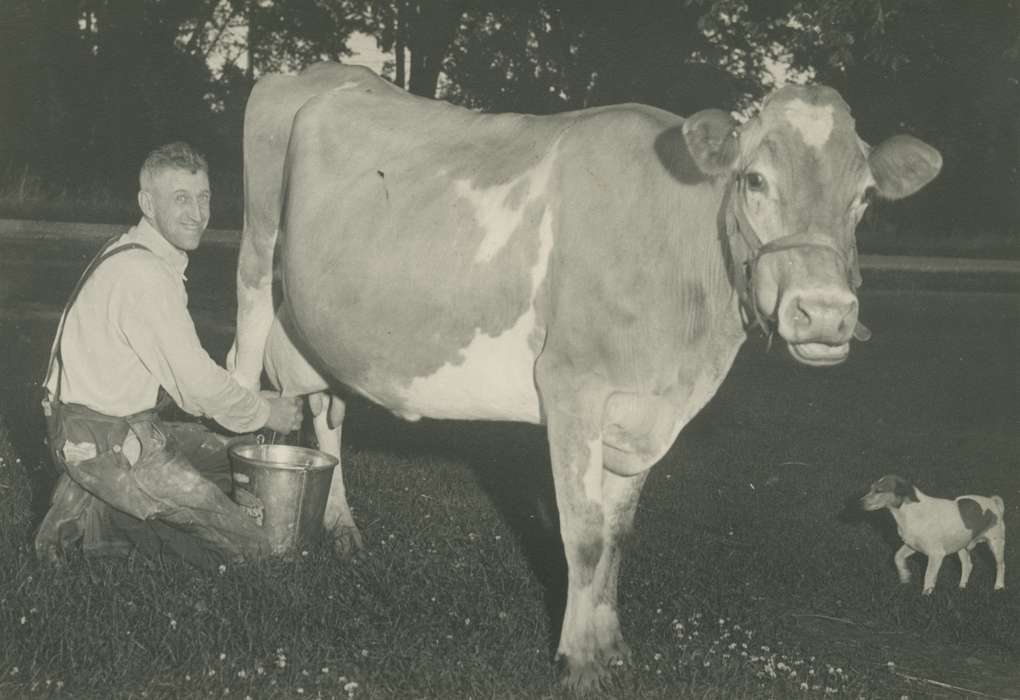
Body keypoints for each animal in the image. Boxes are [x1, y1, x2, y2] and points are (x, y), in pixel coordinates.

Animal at [227, 63, 942, 689]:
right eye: (755, 181)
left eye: (865, 197)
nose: (825, 312)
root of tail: (318, 73)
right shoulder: (571, 387)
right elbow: (586, 534)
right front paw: (579, 661)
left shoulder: (645, 406)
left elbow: (618, 536)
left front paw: (612, 645)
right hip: (258, 252)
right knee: (241, 369)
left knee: (327, 407)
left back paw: (341, 526)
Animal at [860, 473, 1003, 595]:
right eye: (871, 488)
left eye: (879, 491)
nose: (859, 502)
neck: (910, 512)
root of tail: (993, 501)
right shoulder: (911, 546)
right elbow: (897, 557)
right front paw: (905, 577)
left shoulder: (936, 554)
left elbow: (928, 575)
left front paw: (926, 594)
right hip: (961, 546)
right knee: (968, 565)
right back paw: (962, 587)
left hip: (996, 545)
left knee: (1000, 565)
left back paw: (999, 586)